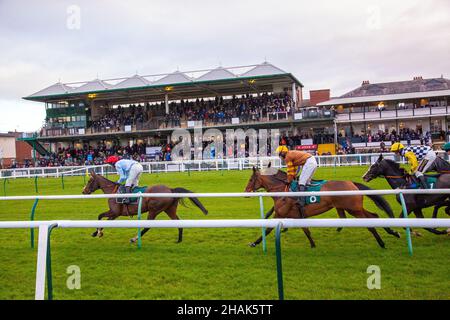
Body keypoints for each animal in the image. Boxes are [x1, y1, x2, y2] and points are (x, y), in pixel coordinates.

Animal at [244, 166, 400, 249]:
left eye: (251, 179)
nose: (246, 192)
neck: (283, 190)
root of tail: (351, 183)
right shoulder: (296, 215)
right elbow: (306, 230)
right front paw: (313, 244)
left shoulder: (281, 214)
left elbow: (268, 229)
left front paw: (254, 242)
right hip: (354, 208)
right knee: (374, 216)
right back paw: (392, 232)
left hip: (353, 209)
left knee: (370, 224)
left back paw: (382, 242)